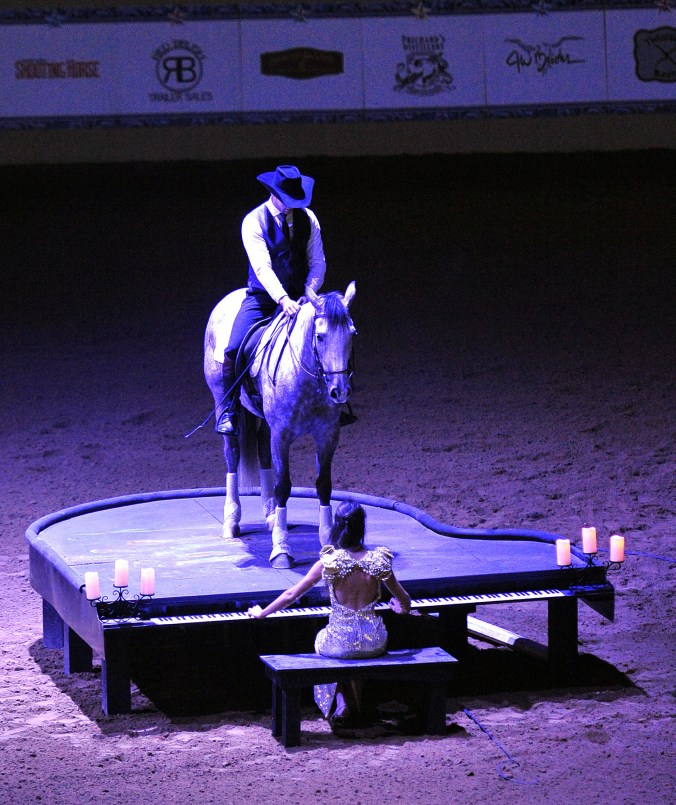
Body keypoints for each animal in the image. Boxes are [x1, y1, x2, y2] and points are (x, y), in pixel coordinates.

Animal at [204, 282, 356, 568]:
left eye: (352, 334)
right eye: (320, 337)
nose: (339, 391)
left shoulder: (327, 435)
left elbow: (324, 484)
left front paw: (328, 544)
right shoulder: (282, 435)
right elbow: (283, 485)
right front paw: (281, 551)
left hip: (266, 423)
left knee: (263, 451)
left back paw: (271, 515)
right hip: (222, 399)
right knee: (232, 455)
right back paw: (231, 522)